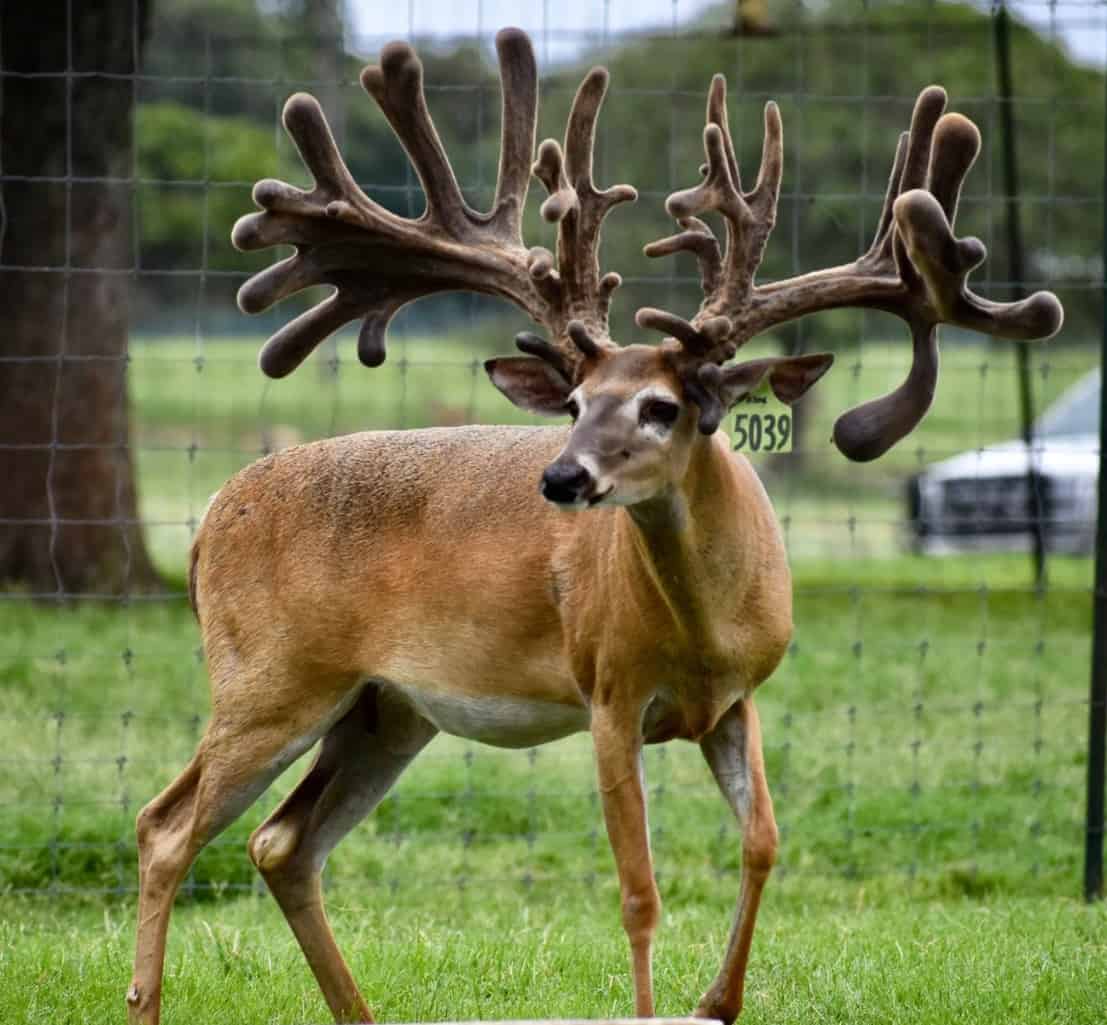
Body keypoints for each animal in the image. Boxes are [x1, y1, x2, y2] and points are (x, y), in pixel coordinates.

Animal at [126, 27, 1062, 1025]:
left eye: (663, 406)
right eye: (574, 403)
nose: (562, 474)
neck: (699, 629)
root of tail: (207, 521)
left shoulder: (737, 698)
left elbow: (762, 840)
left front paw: (716, 1000)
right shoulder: (608, 690)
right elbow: (637, 889)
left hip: (386, 709)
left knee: (282, 841)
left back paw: (356, 1011)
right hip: (270, 678)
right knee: (165, 825)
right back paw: (147, 996)